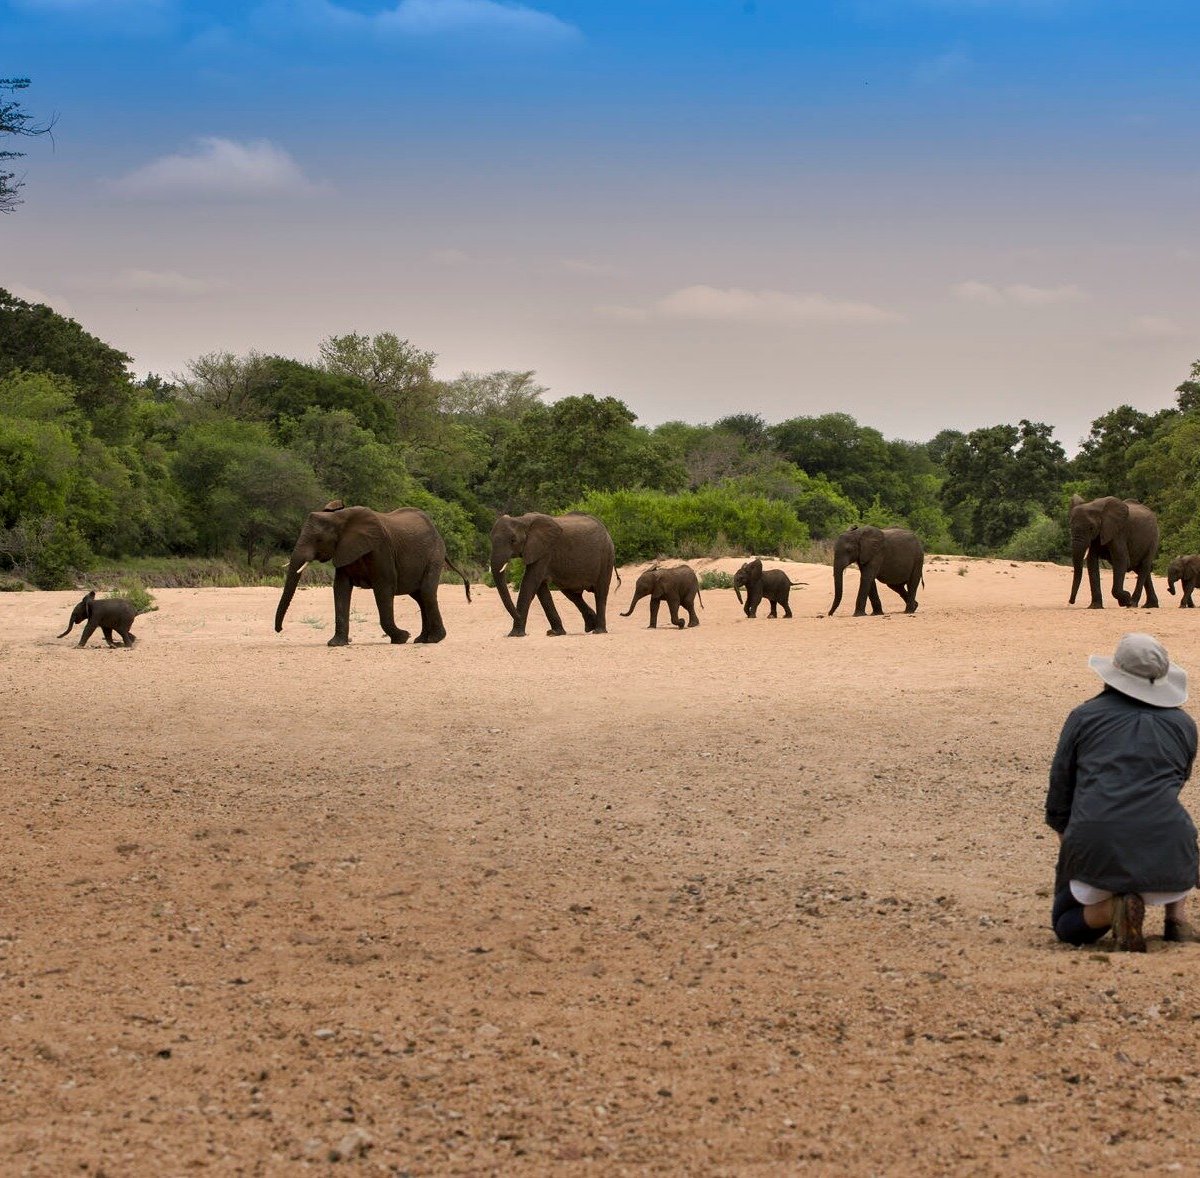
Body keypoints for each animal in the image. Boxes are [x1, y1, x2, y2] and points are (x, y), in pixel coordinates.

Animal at [274, 499, 470, 647]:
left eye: (318, 539)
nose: (279, 630)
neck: (341, 517)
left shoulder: (381, 549)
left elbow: (384, 588)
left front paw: (402, 637)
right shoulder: (344, 551)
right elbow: (340, 589)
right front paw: (336, 644)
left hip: (434, 555)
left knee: (427, 592)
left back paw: (433, 640)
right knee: (420, 596)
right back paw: (421, 639)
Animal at [489, 506, 619, 638]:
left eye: (513, 540)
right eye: (491, 540)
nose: (518, 616)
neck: (522, 520)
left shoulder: (544, 551)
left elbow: (529, 583)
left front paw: (515, 634)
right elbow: (541, 589)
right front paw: (555, 633)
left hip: (606, 556)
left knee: (600, 593)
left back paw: (598, 630)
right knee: (572, 594)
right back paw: (590, 625)